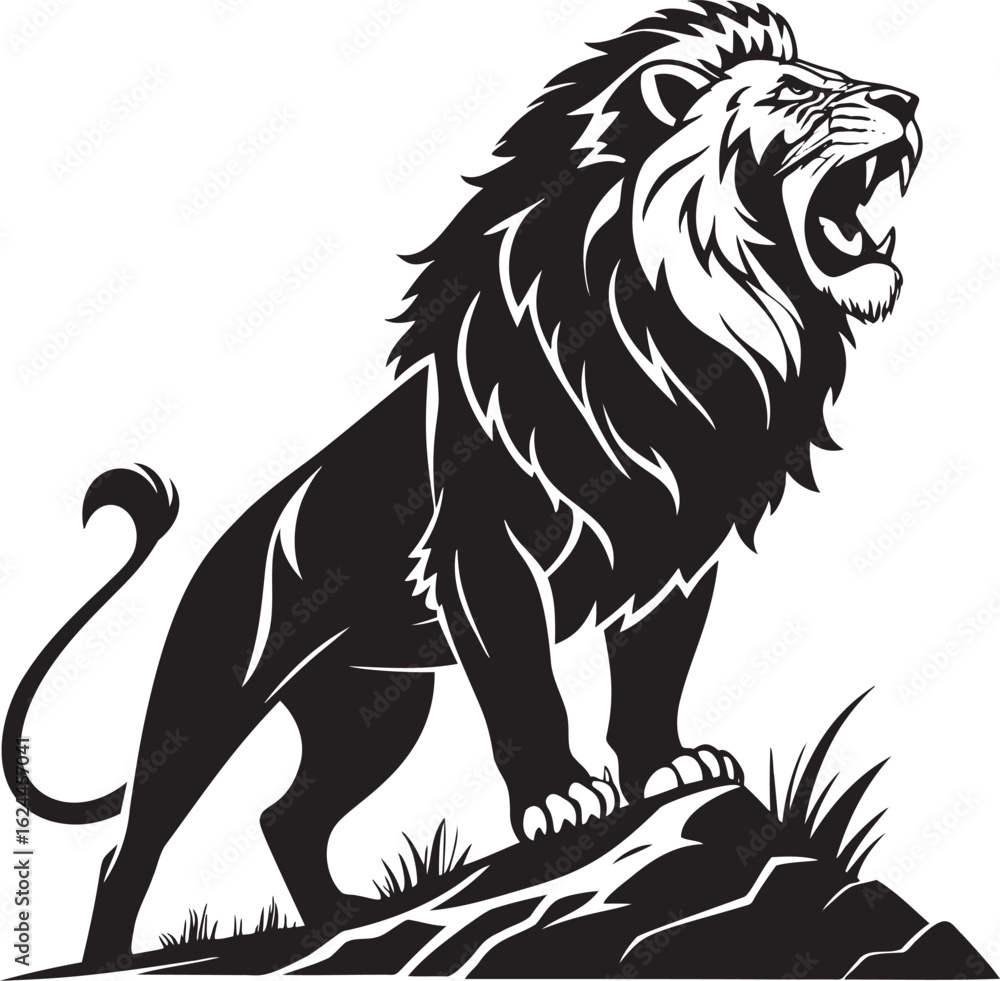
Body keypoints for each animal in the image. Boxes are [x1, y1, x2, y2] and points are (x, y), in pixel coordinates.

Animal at [3, 1, 921, 962]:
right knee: (132, 848)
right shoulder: (488, 557)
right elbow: (526, 692)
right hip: (205, 703)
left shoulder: (671, 558)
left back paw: (337, 920)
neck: (680, 336)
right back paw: (111, 956)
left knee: (286, 816)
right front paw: (560, 800)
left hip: (372, 710)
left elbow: (652, 674)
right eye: (791, 94)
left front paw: (669, 766)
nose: (907, 100)